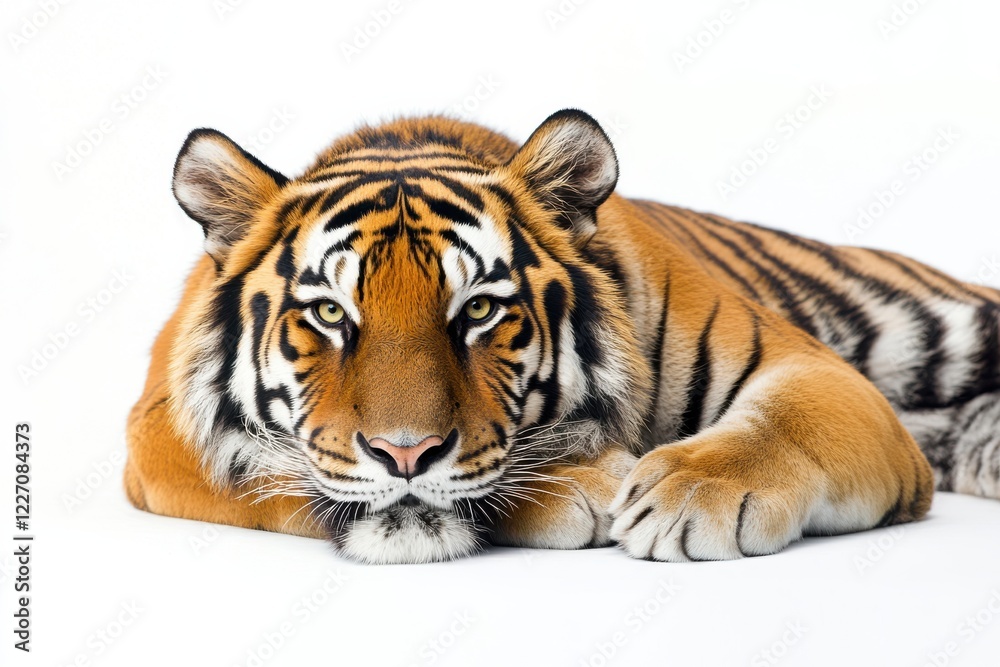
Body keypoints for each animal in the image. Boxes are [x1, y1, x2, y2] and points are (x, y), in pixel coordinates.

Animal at [124, 109, 1000, 564]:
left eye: (479, 310)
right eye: (332, 315)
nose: (405, 454)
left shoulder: (813, 368)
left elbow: (788, 419)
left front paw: (686, 494)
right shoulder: (158, 431)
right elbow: (275, 475)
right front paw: (587, 480)